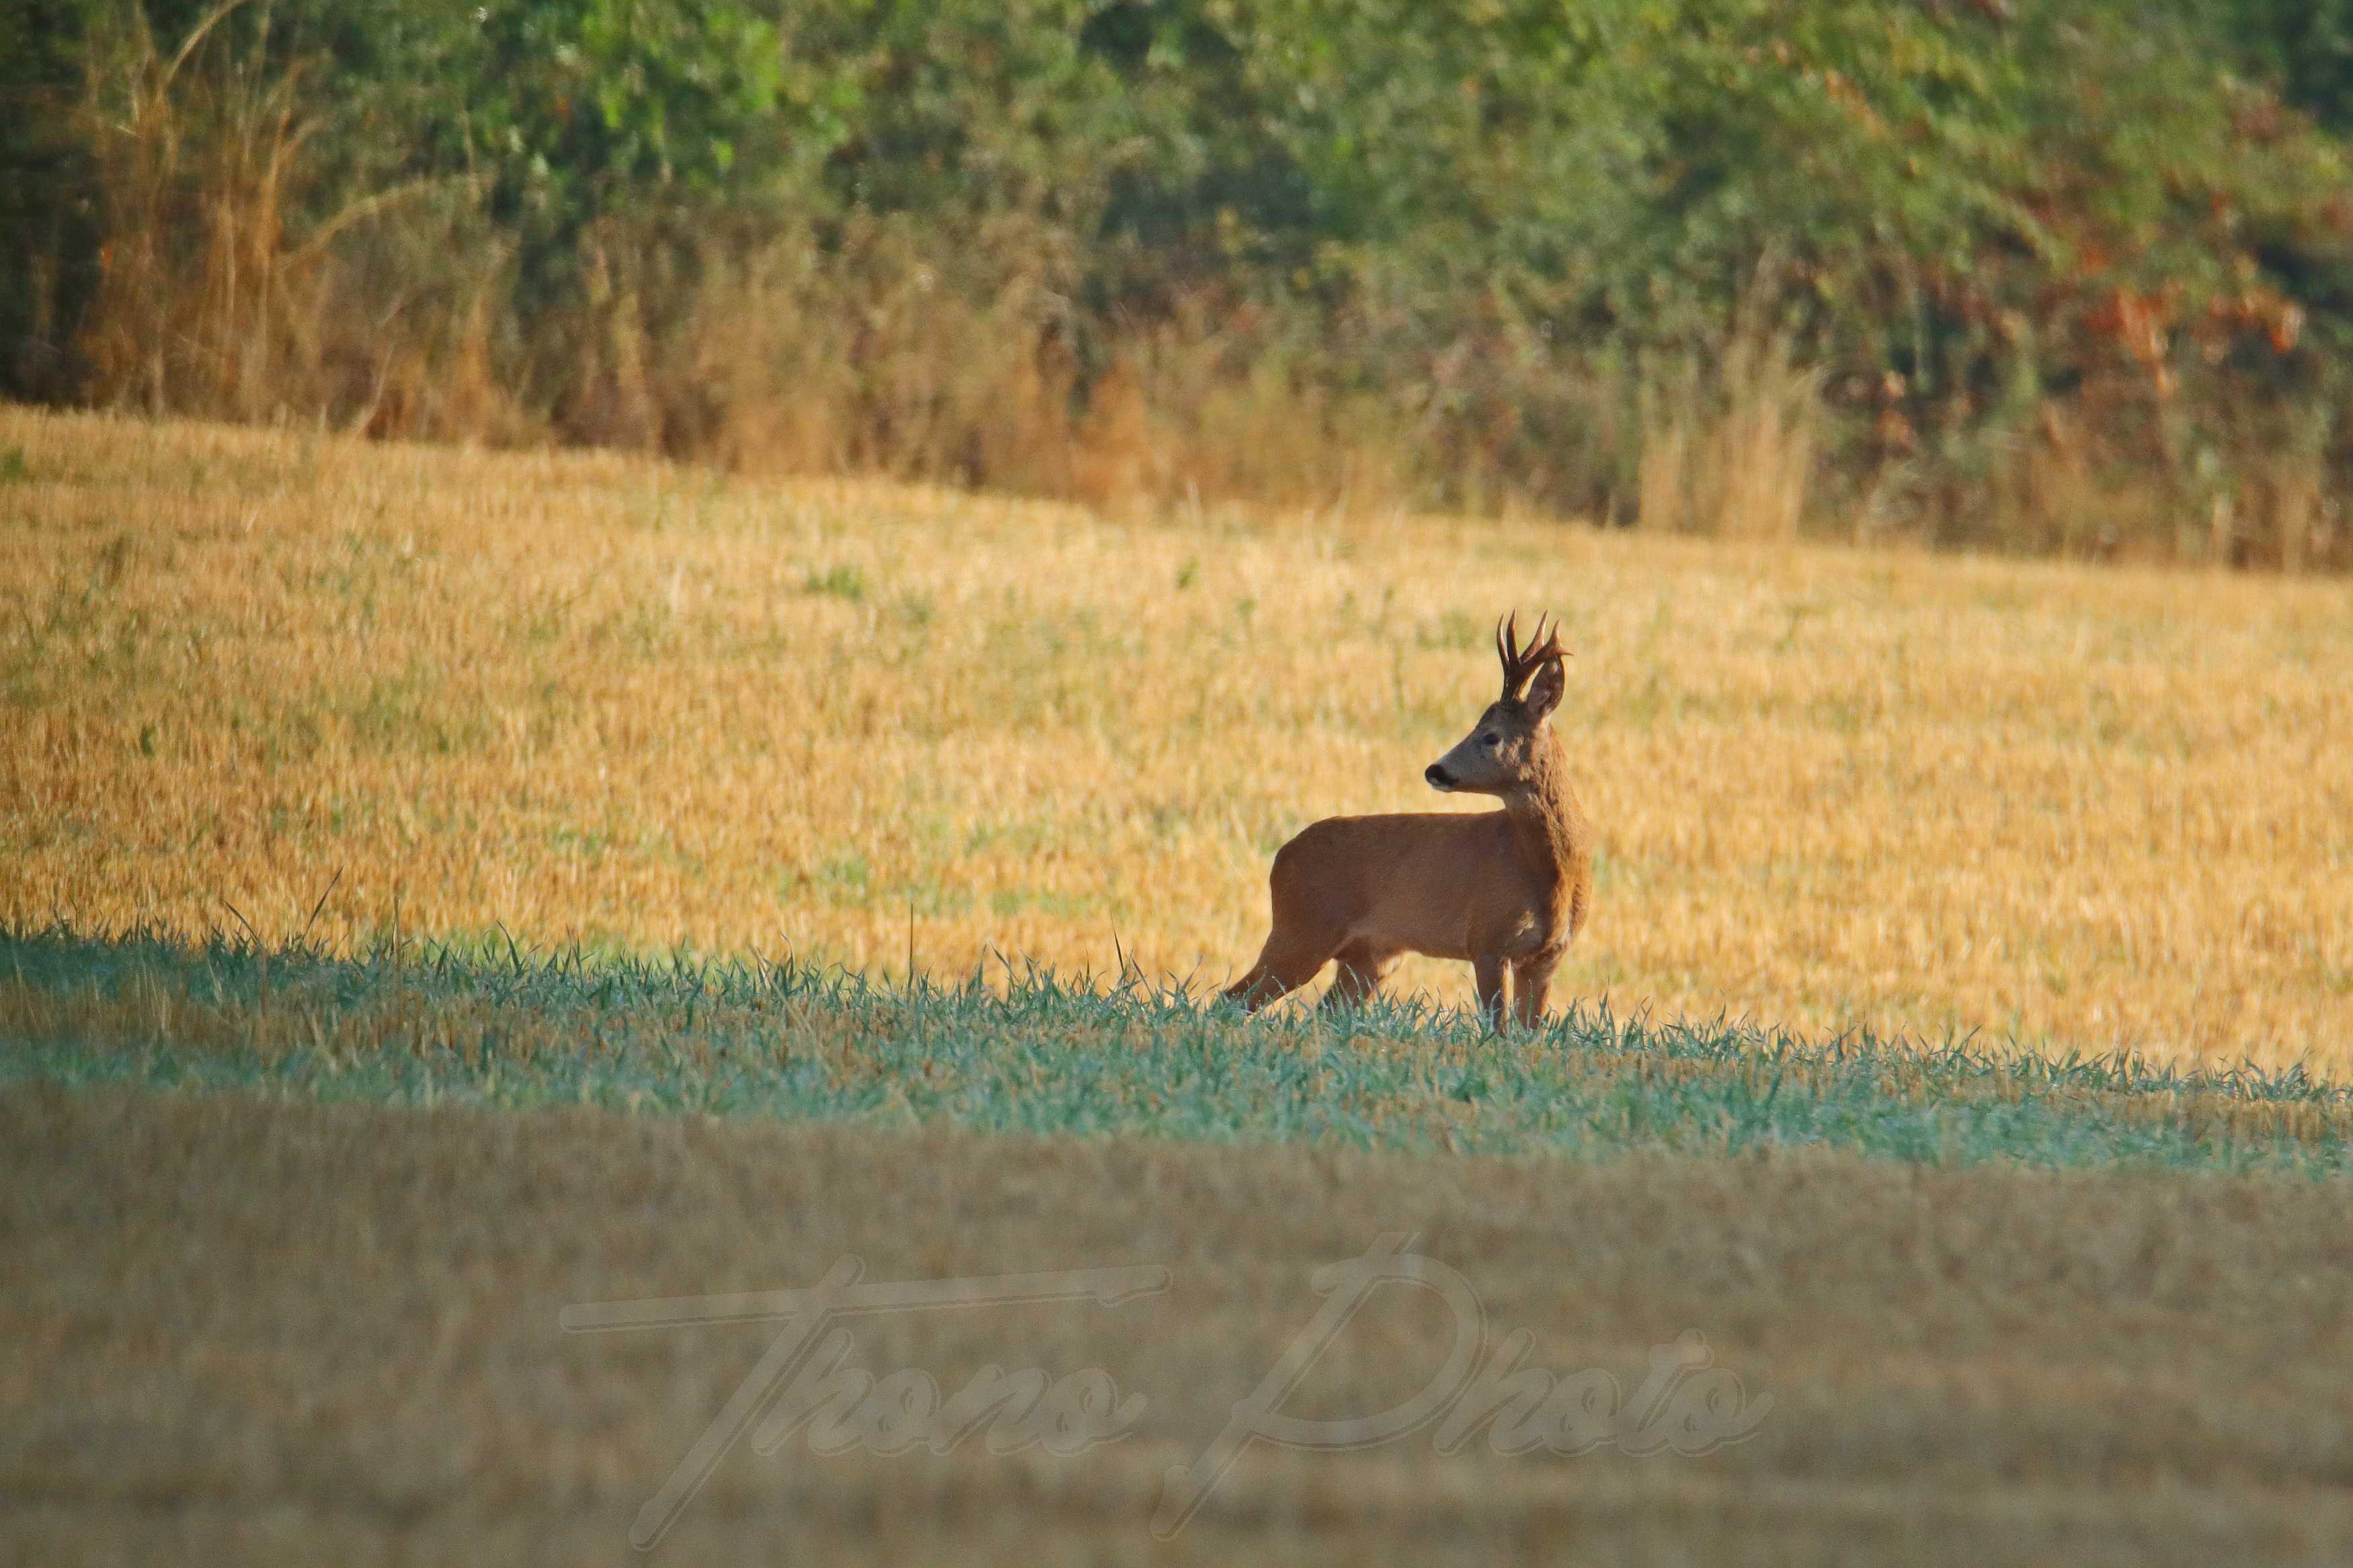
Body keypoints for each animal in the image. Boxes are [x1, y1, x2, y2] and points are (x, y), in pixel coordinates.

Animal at [1224, 611, 1591, 1030]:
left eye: (1491, 736)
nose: (1435, 770)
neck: (1550, 874)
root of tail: (1280, 857)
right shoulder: (1486, 940)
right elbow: (1498, 1030)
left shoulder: (1548, 958)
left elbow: (1529, 1033)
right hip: (1302, 928)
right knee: (1233, 998)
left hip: (1370, 956)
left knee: (1320, 1012)